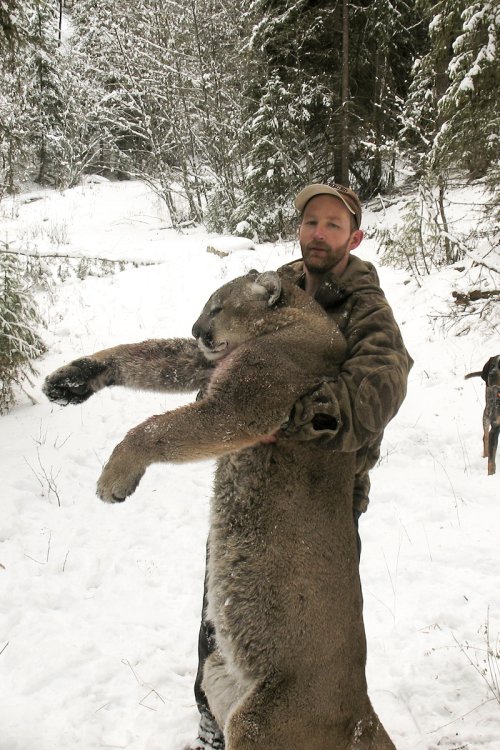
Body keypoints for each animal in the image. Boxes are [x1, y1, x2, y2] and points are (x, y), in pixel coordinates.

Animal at [43, 270, 395, 749]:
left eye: (217, 307)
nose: (196, 330)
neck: (301, 318)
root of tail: (362, 712)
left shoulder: (243, 402)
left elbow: (158, 428)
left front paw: (116, 476)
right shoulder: (208, 364)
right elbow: (153, 356)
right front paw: (74, 378)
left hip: (259, 723)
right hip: (217, 673)